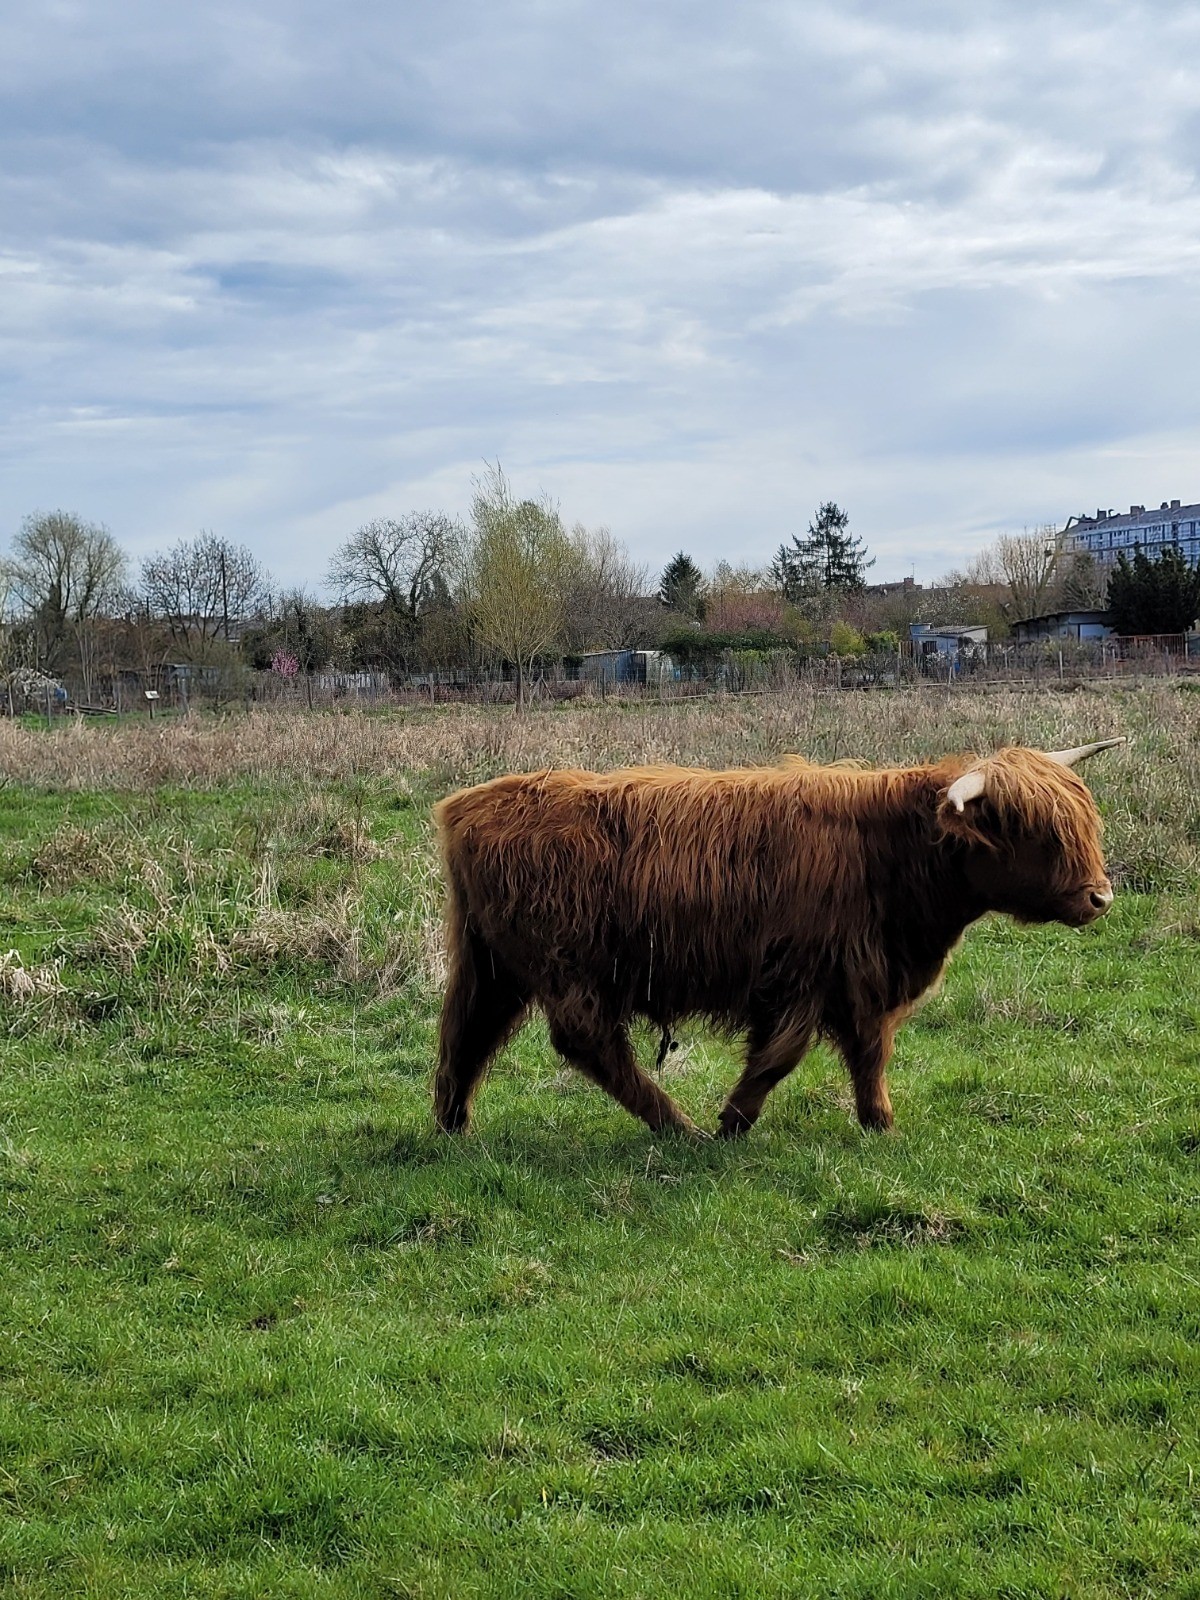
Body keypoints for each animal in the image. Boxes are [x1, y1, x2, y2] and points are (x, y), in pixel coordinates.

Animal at [432, 738, 1122, 1140]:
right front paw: (735, 1120)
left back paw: (452, 1126)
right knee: (587, 1042)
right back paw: (677, 1126)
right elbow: (781, 1056)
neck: (893, 849)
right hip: (566, 966)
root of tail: (467, 804)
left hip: (493, 964)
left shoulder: (863, 976)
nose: (1100, 897)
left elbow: (871, 1051)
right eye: (1030, 828)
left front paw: (879, 1122)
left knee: (466, 1034)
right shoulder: (805, 974)